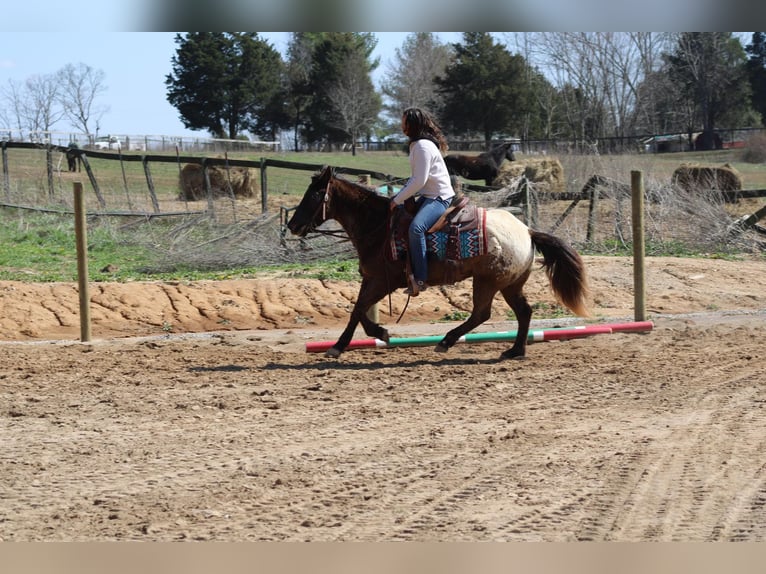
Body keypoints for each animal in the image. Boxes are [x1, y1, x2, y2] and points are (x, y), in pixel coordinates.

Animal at [284, 166, 592, 362]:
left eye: (314, 194)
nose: (292, 225)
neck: (378, 226)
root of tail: (527, 231)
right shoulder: (370, 279)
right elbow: (357, 310)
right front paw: (348, 342)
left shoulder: (384, 281)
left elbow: (359, 310)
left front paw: (369, 336)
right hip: (510, 285)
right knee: (524, 312)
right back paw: (515, 351)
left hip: (488, 282)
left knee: (481, 314)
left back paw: (446, 341)